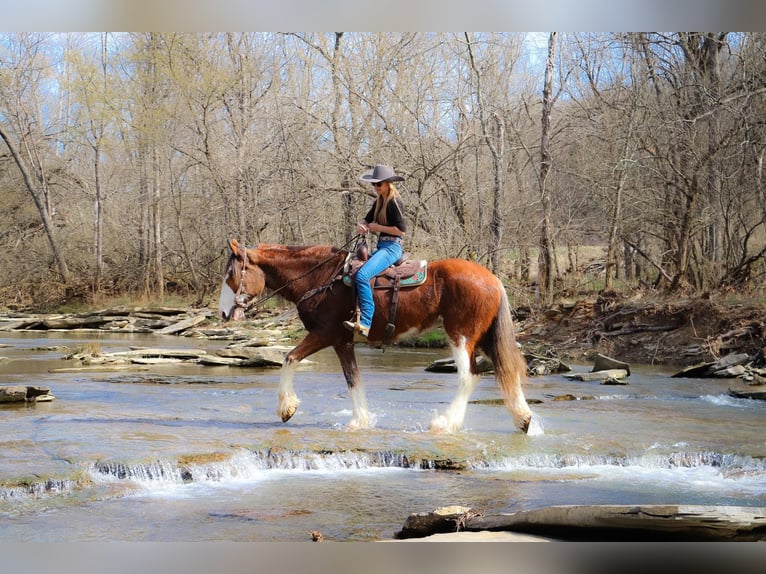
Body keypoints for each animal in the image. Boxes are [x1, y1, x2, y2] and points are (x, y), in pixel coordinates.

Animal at [219, 240, 536, 436]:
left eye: (231, 274)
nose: (223, 312)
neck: (321, 279)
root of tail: (493, 279)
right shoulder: (342, 341)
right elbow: (353, 380)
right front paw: (360, 421)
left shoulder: (325, 334)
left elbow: (289, 358)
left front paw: (287, 407)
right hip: (484, 338)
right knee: (507, 372)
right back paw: (523, 419)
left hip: (461, 336)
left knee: (469, 376)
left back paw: (445, 423)